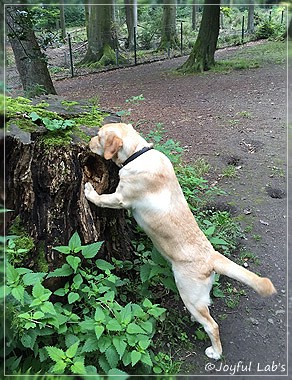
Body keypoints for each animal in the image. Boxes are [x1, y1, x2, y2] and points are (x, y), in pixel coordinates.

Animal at [84, 123, 276, 360]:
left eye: (99, 137)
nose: (87, 143)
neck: (138, 153)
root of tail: (212, 256)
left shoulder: (120, 198)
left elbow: (102, 198)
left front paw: (89, 191)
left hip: (189, 294)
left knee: (212, 325)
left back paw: (215, 352)